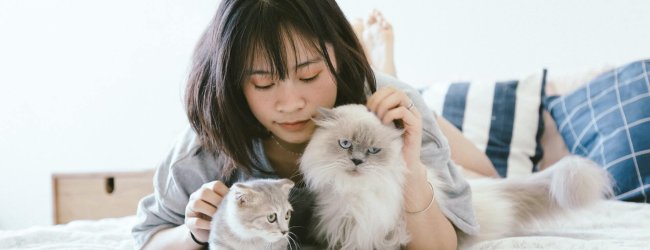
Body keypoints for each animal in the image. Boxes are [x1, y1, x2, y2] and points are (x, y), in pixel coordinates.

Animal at [302, 103, 612, 248]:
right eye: (345, 144)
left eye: (374, 150)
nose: (356, 161)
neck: (358, 195)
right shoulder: (343, 224)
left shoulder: (383, 229)